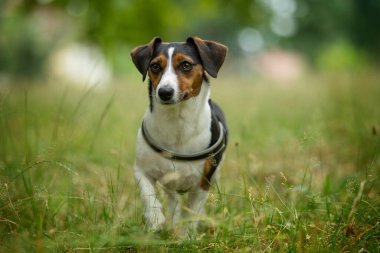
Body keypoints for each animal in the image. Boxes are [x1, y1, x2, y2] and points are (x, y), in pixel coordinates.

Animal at [131, 36, 227, 233]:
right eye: (154, 66)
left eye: (186, 65)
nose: (164, 92)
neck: (177, 122)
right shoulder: (141, 171)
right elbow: (148, 196)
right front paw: (155, 219)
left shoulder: (202, 184)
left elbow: (192, 214)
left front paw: (187, 236)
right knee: (172, 201)